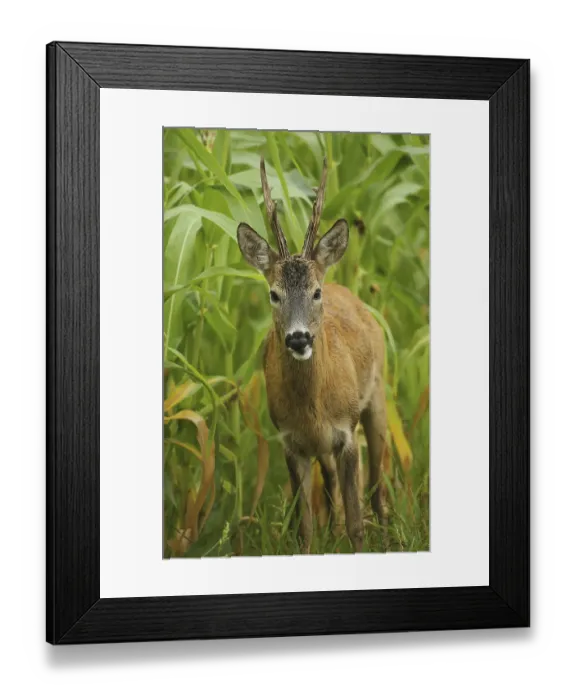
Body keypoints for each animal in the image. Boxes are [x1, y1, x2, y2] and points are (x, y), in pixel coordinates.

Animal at [236, 156, 387, 554]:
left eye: (316, 292)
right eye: (274, 293)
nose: (298, 338)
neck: (313, 407)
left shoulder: (346, 433)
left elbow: (356, 525)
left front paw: (358, 542)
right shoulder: (291, 442)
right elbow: (304, 529)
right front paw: (317, 539)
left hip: (377, 397)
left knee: (377, 483)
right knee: (331, 482)